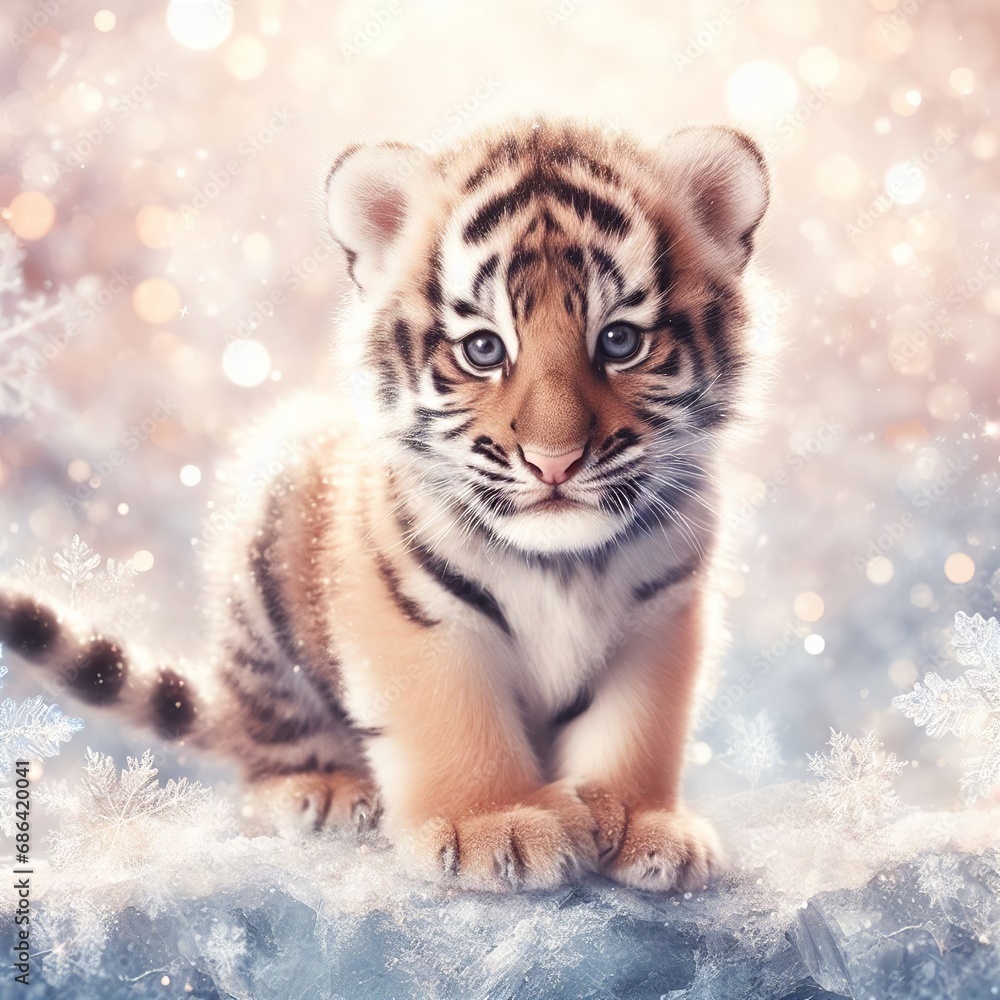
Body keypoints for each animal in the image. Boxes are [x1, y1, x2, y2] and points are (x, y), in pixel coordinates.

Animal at [0, 116, 769, 893]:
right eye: (484, 349)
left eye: (619, 340)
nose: (554, 461)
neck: (562, 561)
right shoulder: (409, 605)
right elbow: (453, 715)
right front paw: (498, 823)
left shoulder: (662, 612)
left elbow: (636, 727)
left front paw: (646, 823)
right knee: (267, 751)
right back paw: (326, 791)